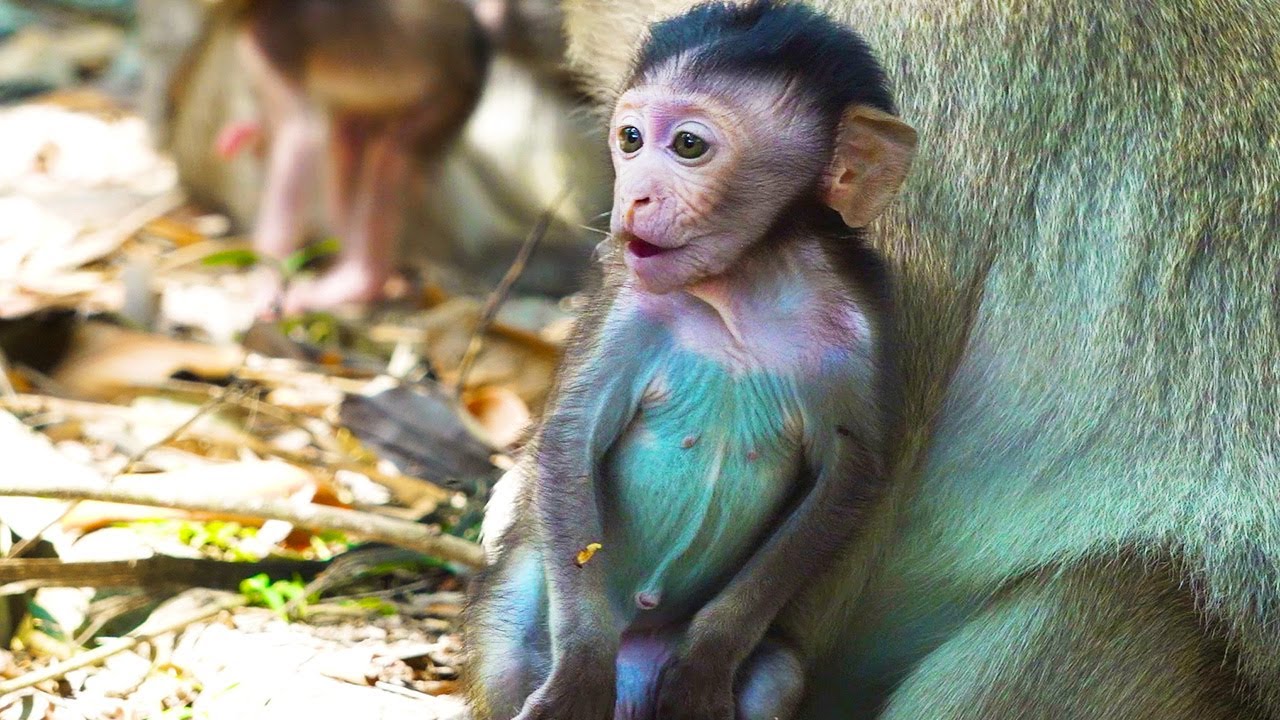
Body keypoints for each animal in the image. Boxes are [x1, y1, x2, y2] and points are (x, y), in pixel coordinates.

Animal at [462, 3, 918, 718]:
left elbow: (849, 477)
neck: (742, 292)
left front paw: (704, 671)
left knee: (775, 673)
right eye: (629, 139)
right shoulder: (629, 304)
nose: (634, 198)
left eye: (689, 147)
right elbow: (571, 441)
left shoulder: (864, 327)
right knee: (510, 652)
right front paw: (580, 672)